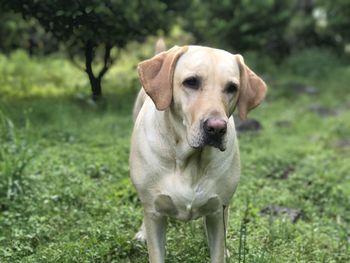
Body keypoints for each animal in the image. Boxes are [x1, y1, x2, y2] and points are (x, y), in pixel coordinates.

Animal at [130, 46, 266, 263]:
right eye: (191, 82)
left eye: (232, 88)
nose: (217, 128)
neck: (189, 160)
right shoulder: (155, 213)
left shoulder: (219, 211)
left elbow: (218, 250)